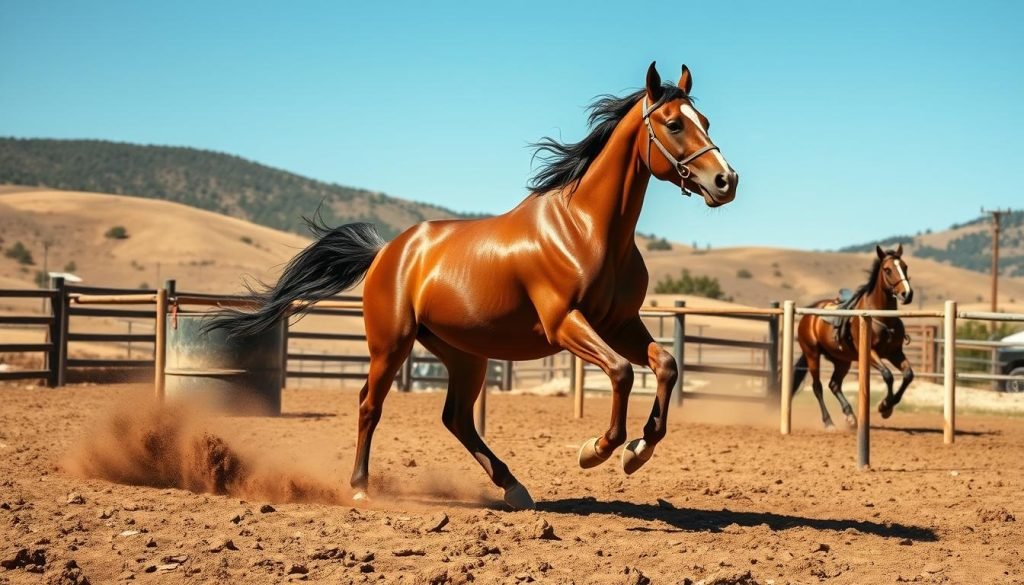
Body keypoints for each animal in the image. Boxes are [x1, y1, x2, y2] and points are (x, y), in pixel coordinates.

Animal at [210, 62, 738, 509]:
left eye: (706, 120)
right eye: (673, 124)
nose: (725, 180)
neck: (586, 229)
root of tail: (386, 252)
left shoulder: (620, 323)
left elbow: (665, 365)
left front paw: (637, 450)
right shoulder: (565, 323)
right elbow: (622, 372)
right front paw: (597, 449)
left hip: (465, 354)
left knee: (456, 418)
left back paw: (514, 487)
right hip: (392, 345)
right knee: (369, 405)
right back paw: (360, 488)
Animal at [792, 245, 915, 430]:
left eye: (905, 266)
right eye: (887, 270)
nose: (907, 294)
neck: (882, 317)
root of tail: (809, 316)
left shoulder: (895, 352)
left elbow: (908, 375)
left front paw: (888, 407)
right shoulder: (870, 352)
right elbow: (888, 375)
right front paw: (884, 406)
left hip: (842, 360)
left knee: (834, 385)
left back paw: (850, 416)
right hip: (812, 354)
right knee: (818, 387)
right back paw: (829, 422)